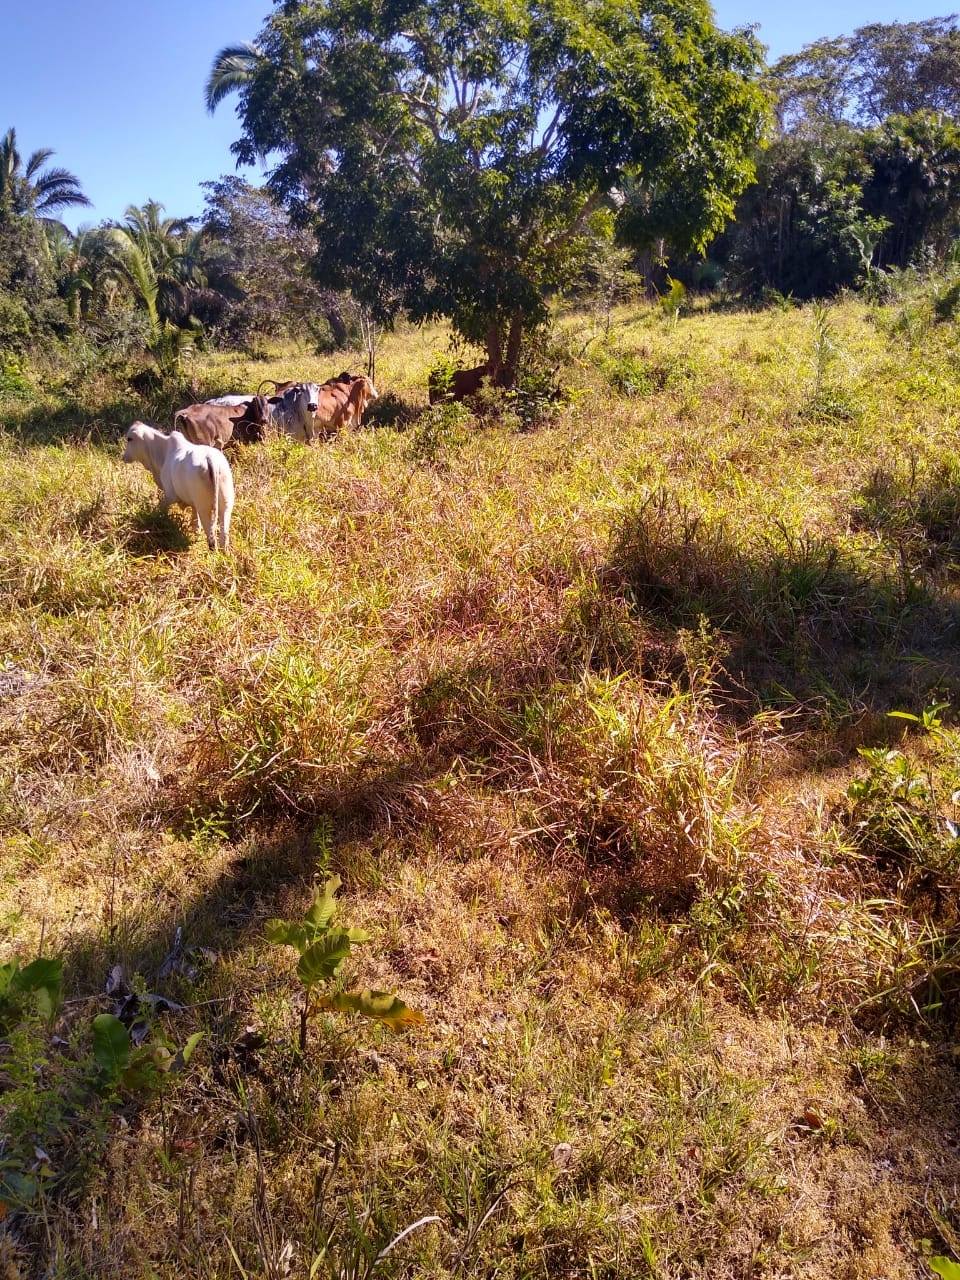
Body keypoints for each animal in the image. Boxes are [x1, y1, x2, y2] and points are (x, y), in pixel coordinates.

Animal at [122, 419, 235, 550]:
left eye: (129, 439)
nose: (123, 457)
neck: (163, 453)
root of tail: (210, 459)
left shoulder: (170, 496)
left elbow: (161, 509)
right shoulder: (192, 502)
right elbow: (195, 521)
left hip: (205, 508)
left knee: (212, 539)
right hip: (226, 505)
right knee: (224, 537)